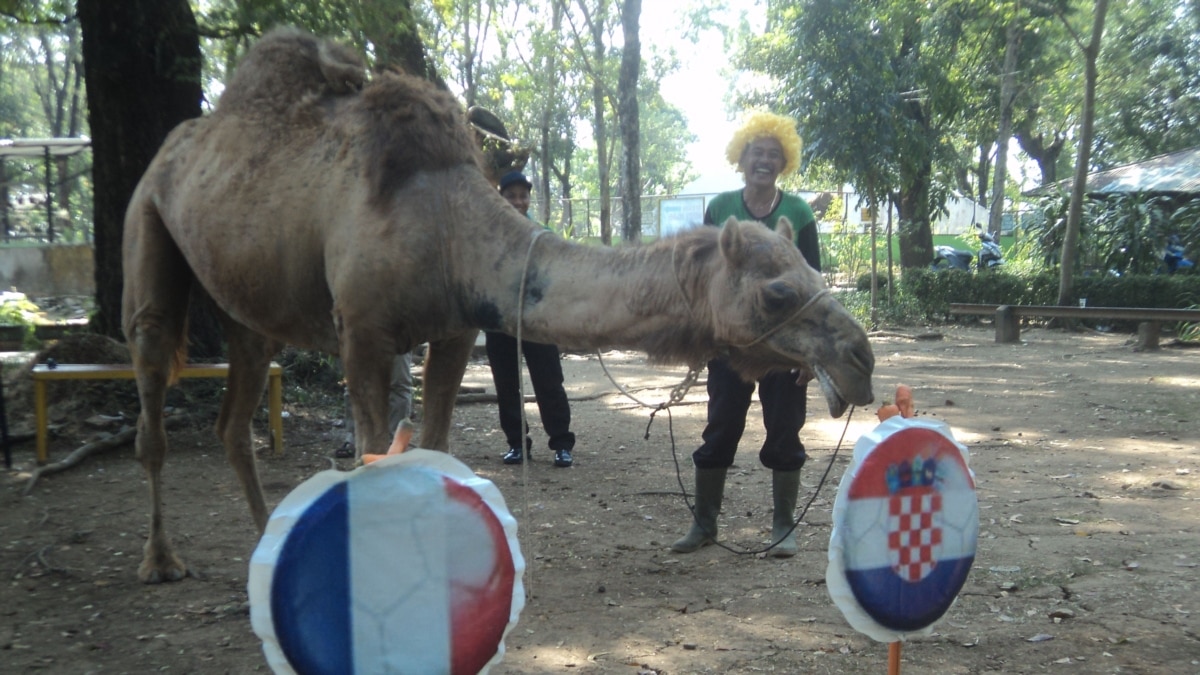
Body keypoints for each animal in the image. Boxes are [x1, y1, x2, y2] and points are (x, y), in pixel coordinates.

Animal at [121, 28, 873, 581]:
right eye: (778, 291)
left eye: (813, 265)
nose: (861, 359)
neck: (448, 225)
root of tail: (173, 149)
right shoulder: (361, 332)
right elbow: (373, 452)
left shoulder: (455, 329)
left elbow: (433, 445)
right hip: (148, 223)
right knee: (152, 387)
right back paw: (160, 559)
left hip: (247, 306)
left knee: (233, 420)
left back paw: (263, 546)